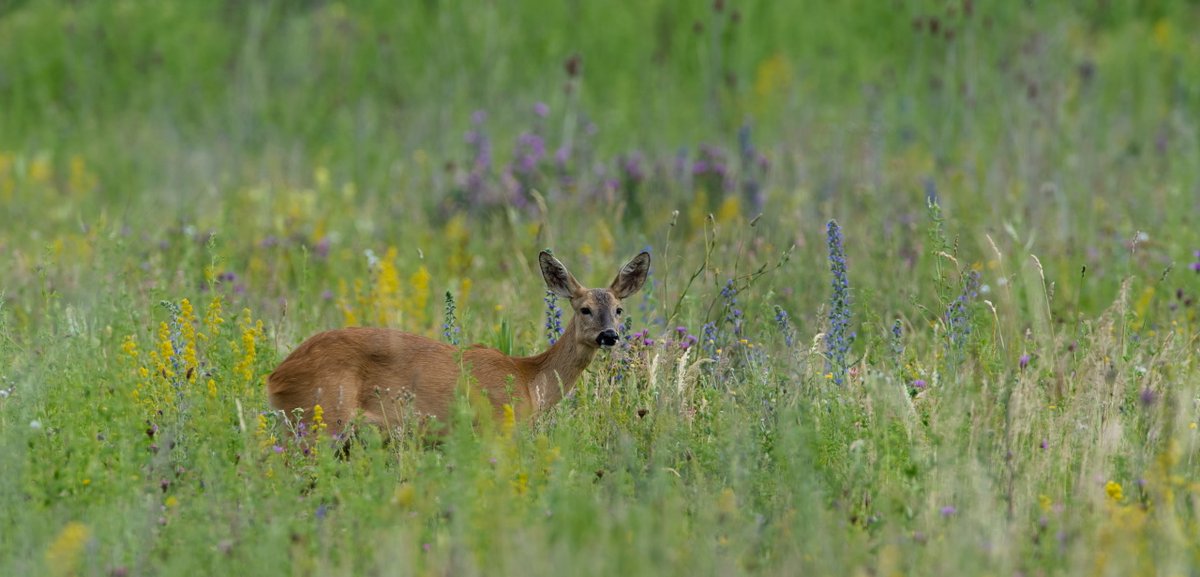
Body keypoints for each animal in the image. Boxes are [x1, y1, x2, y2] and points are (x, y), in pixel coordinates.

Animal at [267, 248, 652, 431]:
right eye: (584, 309)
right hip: (319, 416)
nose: (609, 335)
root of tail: (275, 376)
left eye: (618, 309)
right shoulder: (499, 425)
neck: (528, 379)